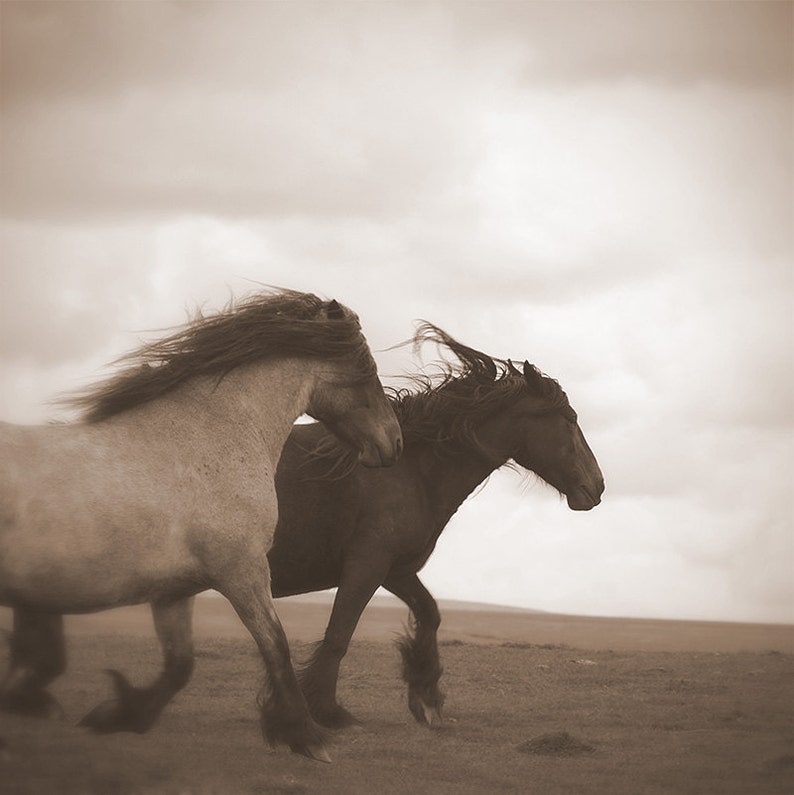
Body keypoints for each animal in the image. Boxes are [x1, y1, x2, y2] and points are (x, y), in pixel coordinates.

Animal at [0, 288, 402, 763]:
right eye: (368, 369)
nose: (394, 442)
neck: (212, 435)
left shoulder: (175, 591)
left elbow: (180, 665)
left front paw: (117, 715)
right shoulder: (243, 571)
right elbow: (276, 645)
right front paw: (307, 737)